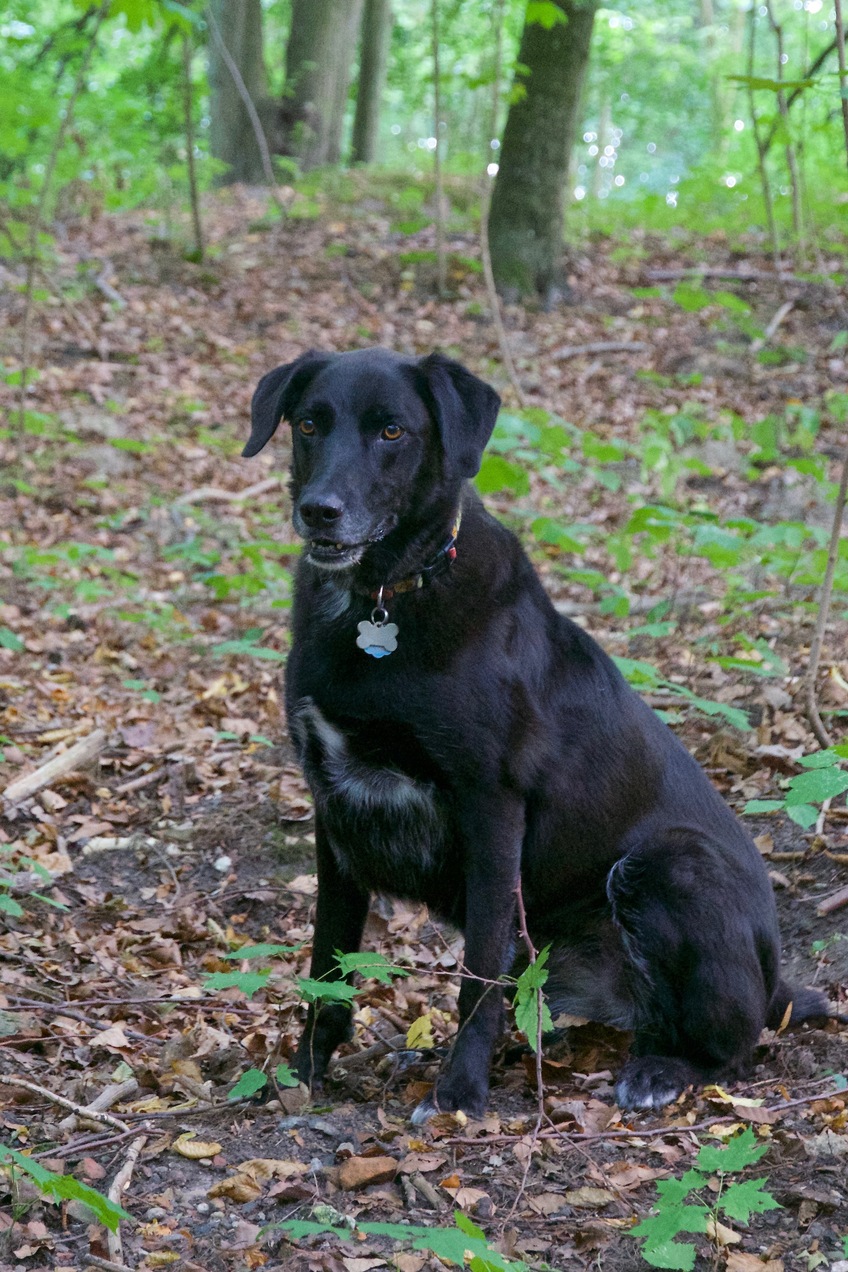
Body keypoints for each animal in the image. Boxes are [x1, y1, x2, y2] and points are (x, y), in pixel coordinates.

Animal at [244, 345, 828, 1114]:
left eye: (392, 431)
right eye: (309, 423)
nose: (320, 511)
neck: (382, 605)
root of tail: (775, 981)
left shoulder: (491, 806)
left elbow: (478, 979)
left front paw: (459, 1096)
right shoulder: (332, 807)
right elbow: (328, 967)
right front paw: (303, 1075)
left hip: (670, 865)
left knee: (733, 1047)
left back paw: (661, 1072)